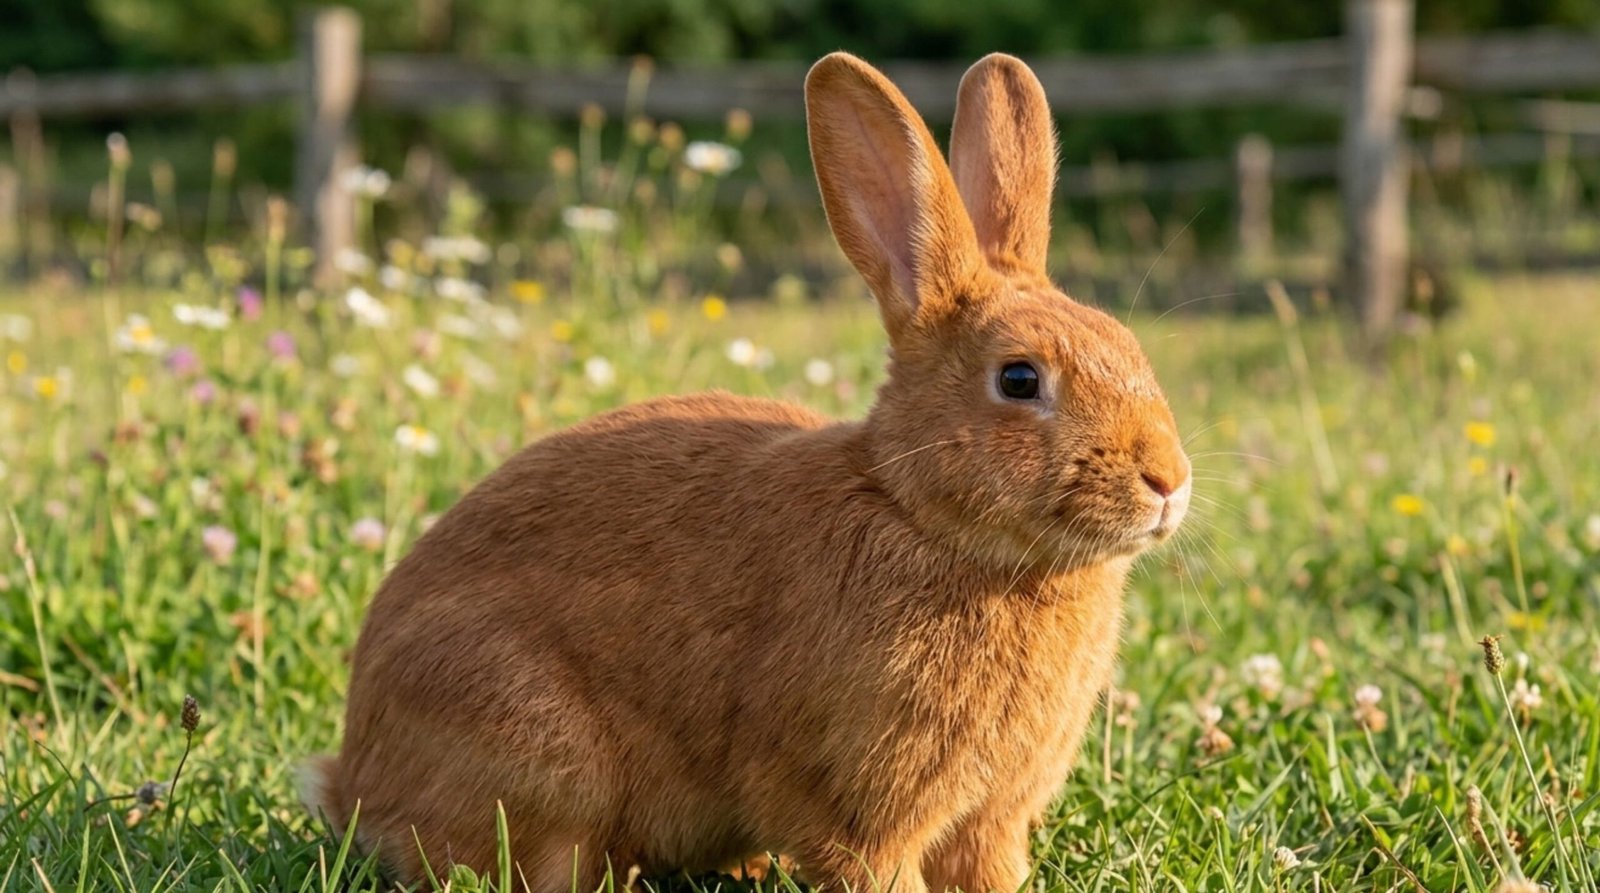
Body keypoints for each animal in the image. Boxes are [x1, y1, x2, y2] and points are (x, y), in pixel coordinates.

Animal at [302, 51, 1191, 893]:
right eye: (1018, 379)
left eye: (1127, 344)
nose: (1168, 481)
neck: (920, 515)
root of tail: (354, 774)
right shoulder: (856, 804)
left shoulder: (992, 817)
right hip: (535, 747)